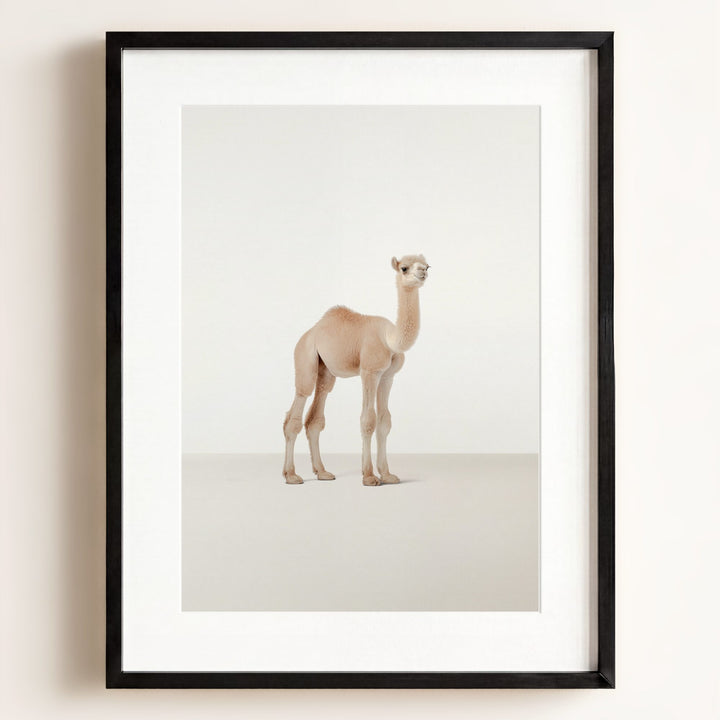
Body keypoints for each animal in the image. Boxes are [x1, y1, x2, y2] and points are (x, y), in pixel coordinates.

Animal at [282, 254, 429, 486]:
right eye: (404, 268)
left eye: (428, 265)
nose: (422, 272)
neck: (390, 339)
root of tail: (310, 332)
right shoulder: (369, 371)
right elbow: (368, 419)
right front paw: (369, 476)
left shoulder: (387, 376)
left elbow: (384, 421)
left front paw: (387, 474)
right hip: (304, 357)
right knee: (297, 407)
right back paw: (291, 475)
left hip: (326, 371)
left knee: (316, 415)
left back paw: (322, 472)